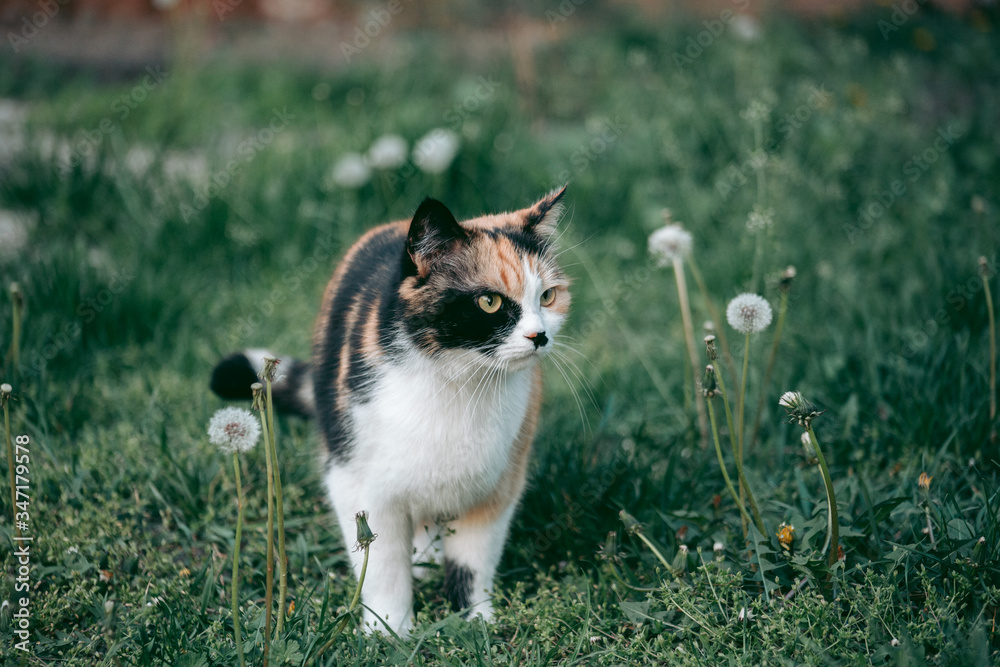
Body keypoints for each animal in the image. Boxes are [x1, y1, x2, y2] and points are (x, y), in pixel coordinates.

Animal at [211, 188, 572, 636]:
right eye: (489, 301)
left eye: (548, 296)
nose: (540, 335)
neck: (459, 384)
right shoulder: (359, 484)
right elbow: (382, 569)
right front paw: (388, 632)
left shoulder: (497, 487)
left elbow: (472, 565)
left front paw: (476, 623)